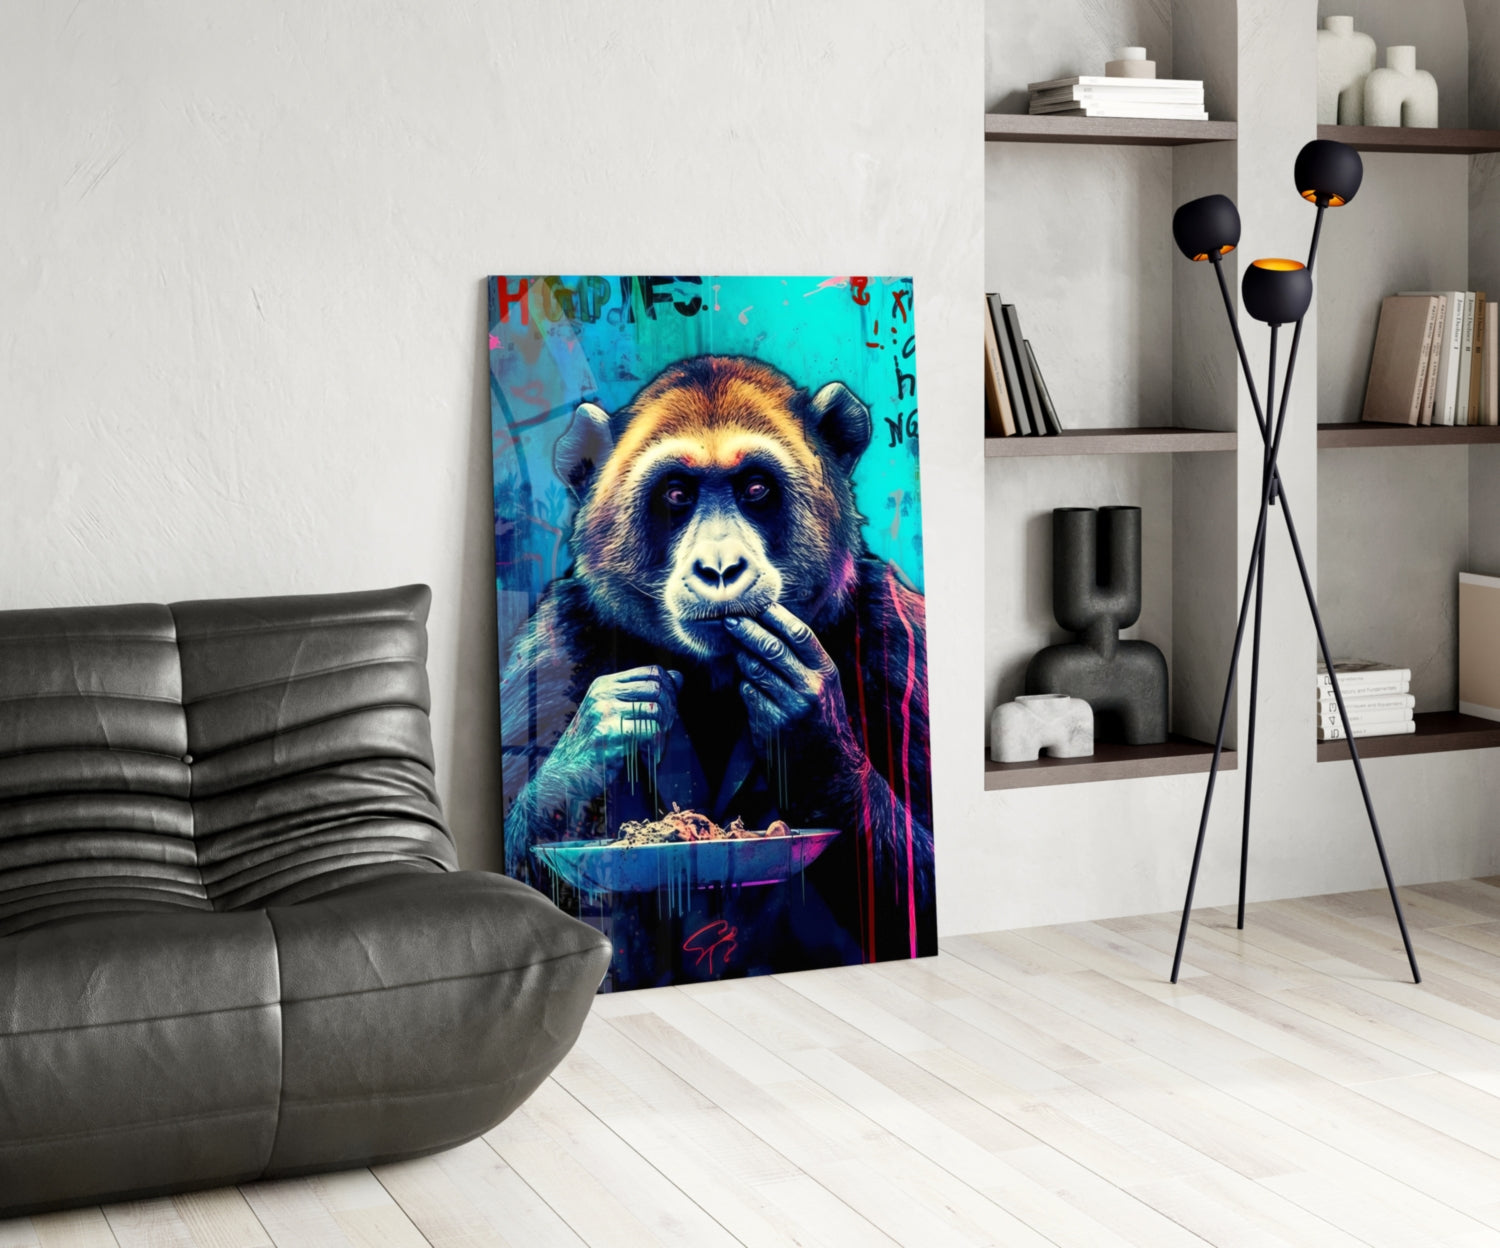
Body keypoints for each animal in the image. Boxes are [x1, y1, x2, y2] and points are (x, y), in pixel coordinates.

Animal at [500, 354, 934, 985]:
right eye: (678, 495)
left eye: (755, 489)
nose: (721, 567)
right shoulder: (552, 649)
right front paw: (601, 730)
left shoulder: (896, 637)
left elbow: (921, 889)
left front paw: (808, 720)